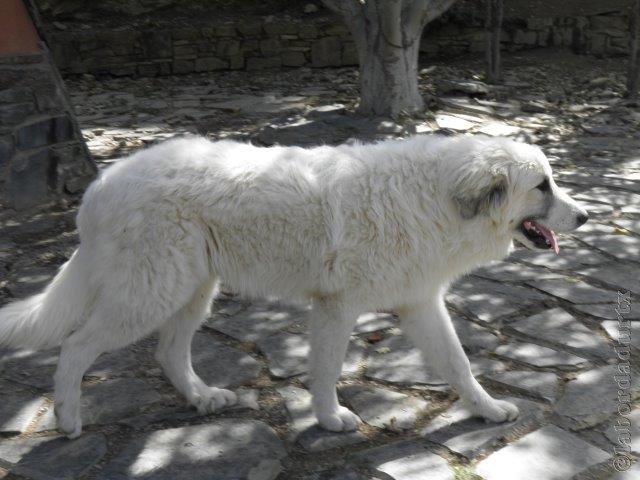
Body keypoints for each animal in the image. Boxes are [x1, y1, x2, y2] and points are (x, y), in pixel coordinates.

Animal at [0, 133, 588, 436]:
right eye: (542, 186)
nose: (584, 217)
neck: (435, 200)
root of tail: (100, 186)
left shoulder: (419, 303)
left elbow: (458, 364)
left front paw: (487, 410)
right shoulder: (337, 306)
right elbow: (326, 370)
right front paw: (330, 419)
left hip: (192, 291)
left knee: (168, 353)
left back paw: (204, 398)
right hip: (150, 293)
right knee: (77, 346)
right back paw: (69, 420)